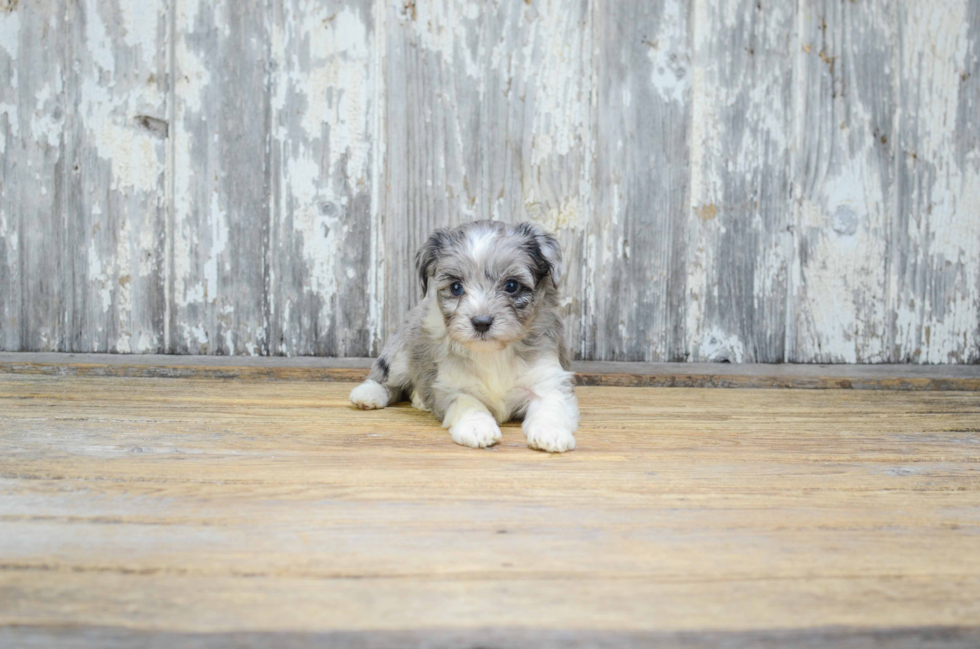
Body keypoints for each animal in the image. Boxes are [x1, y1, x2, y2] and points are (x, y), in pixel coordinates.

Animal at [348, 220, 580, 454]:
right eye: (456, 287)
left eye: (511, 285)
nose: (481, 322)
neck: (494, 353)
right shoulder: (452, 385)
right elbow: (468, 403)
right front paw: (477, 427)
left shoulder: (547, 379)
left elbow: (551, 405)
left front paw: (551, 432)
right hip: (401, 353)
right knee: (388, 379)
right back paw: (368, 394)